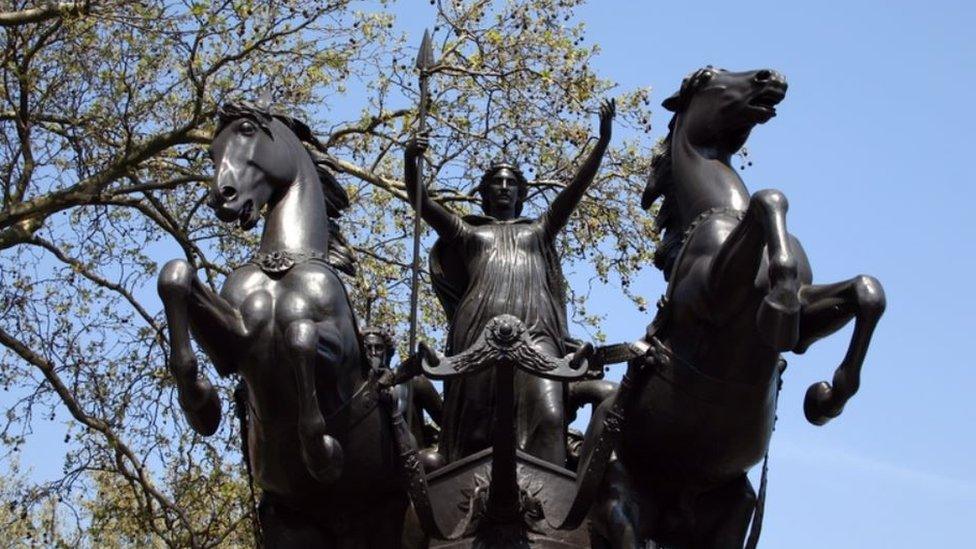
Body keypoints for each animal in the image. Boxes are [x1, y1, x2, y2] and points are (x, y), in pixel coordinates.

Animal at [157, 101, 408, 544]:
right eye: (211, 152)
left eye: (247, 131)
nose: (222, 197)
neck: (283, 262)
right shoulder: (236, 342)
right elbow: (175, 275)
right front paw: (202, 404)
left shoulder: (342, 355)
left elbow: (299, 335)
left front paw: (322, 452)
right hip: (291, 523)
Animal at [588, 68, 884, 548]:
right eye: (708, 76)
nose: (771, 77)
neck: (721, 210)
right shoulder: (712, 293)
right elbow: (769, 197)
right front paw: (778, 307)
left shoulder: (809, 320)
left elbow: (866, 291)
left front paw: (826, 398)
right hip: (616, 499)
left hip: (734, 511)